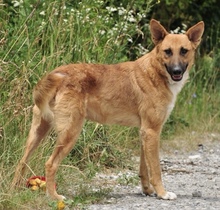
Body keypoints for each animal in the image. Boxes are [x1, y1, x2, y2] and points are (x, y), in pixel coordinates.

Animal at [11, 19, 205, 200]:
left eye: (184, 51)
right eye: (167, 52)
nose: (177, 71)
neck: (155, 72)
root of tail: (60, 74)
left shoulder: (145, 132)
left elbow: (144, 169)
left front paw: (148, 191)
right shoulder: (152, 131)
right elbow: (156, 170)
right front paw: (162, 193)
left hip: (38, 133)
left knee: (21, 162)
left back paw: (15, 190)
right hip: (70, 133)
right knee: (50, 164)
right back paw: (54, 196)